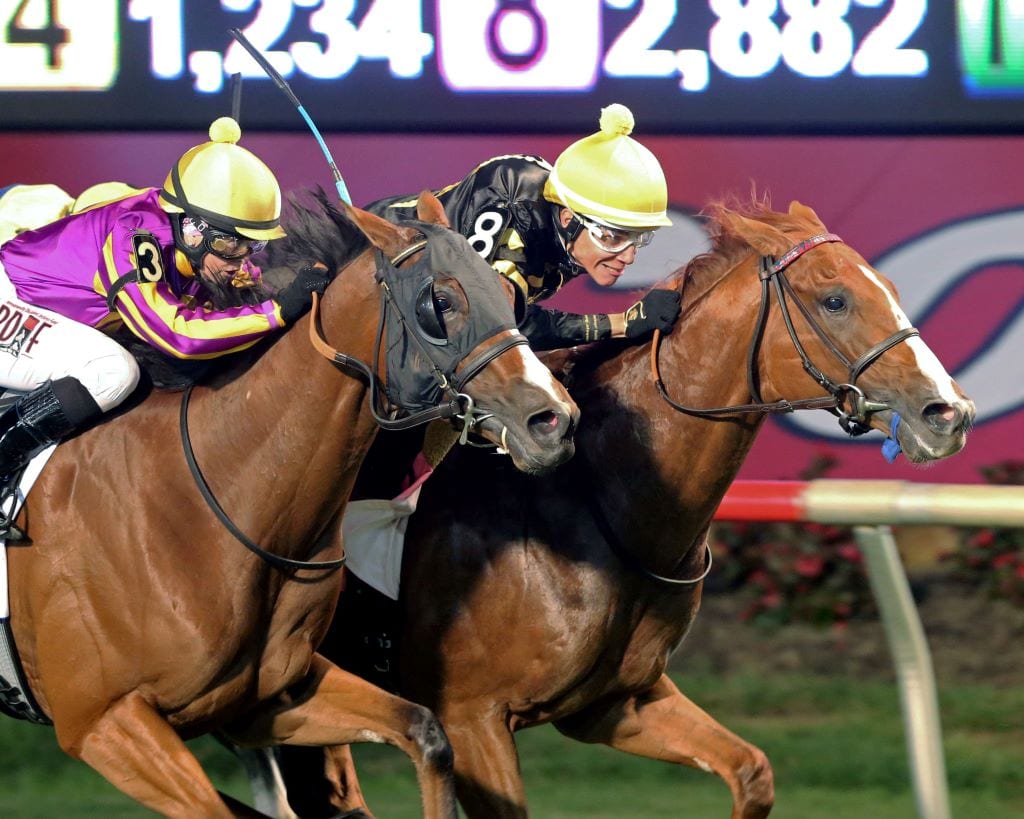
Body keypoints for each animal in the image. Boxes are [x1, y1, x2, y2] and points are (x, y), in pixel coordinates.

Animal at [0, 193, 581, 818]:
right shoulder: (103, 722)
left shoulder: (268, 698)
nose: (553, 420)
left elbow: (427, 734)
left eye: (507, 293)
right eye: (440, 301)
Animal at [249, 199, 974, 818]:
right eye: (836, 299)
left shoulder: (617, 701)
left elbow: (752, 771)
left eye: (890, 288)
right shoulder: (470, 716)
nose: (950, 413)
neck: (598, 504)